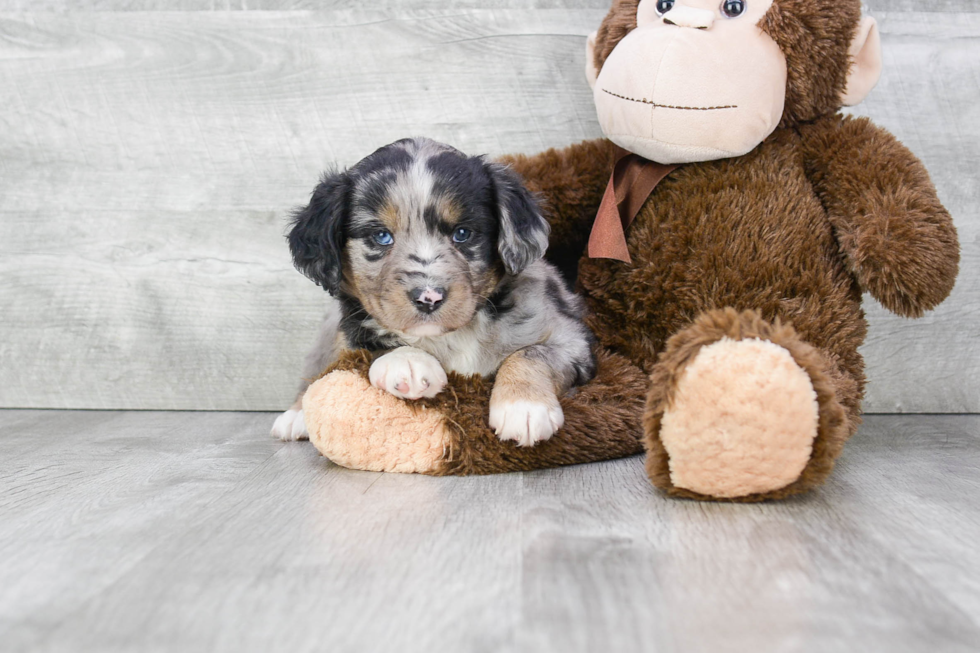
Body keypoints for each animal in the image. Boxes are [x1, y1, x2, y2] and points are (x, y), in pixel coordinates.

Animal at [274, 136, 596, 446]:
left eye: (462, 233)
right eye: (381, 236)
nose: (429, 298)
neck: (452, 336)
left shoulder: (572, 340)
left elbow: (531, 353)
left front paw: (523, 407)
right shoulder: (352, 333)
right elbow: (369, 346)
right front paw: (409, 362)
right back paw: (296, 415)